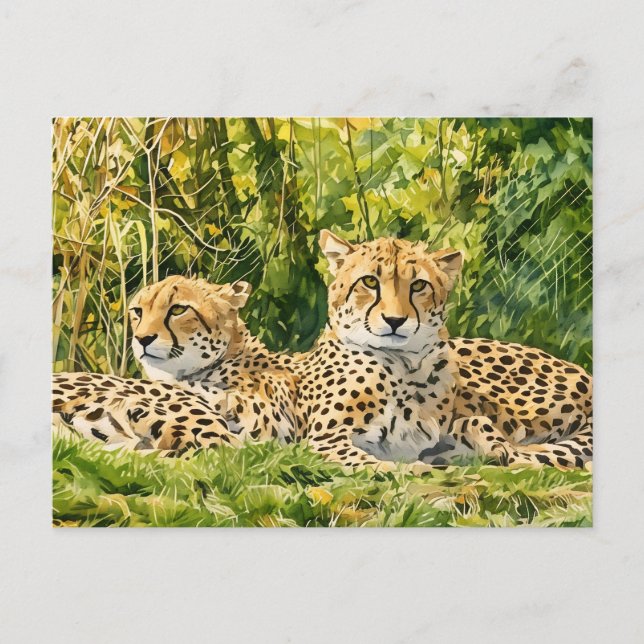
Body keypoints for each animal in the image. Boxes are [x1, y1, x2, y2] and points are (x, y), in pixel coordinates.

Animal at [280, 230, 592, 470]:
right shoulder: (326, 439)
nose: (395, 320)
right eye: (369, 281)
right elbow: (375, 463)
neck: (403, 366)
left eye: (419, 285)